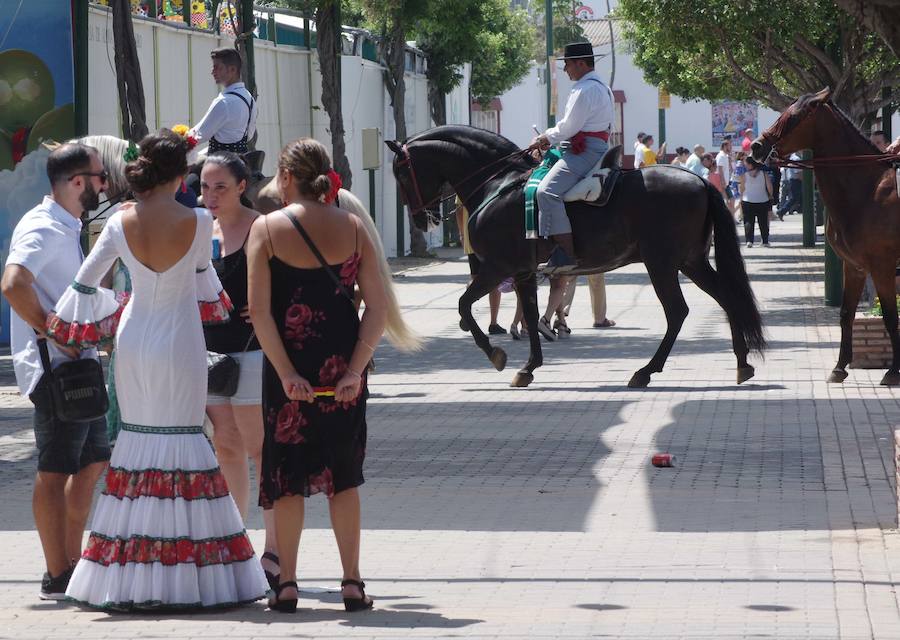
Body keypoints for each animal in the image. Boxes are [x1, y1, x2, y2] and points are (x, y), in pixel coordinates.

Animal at [752, 88, 900, 388]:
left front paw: (893, 371)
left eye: (793, 116)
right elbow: (846, 314)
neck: (868, 189)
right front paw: (840, 367)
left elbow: (891, 316)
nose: (756, 147)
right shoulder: (854, 267)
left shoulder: (883, 266)